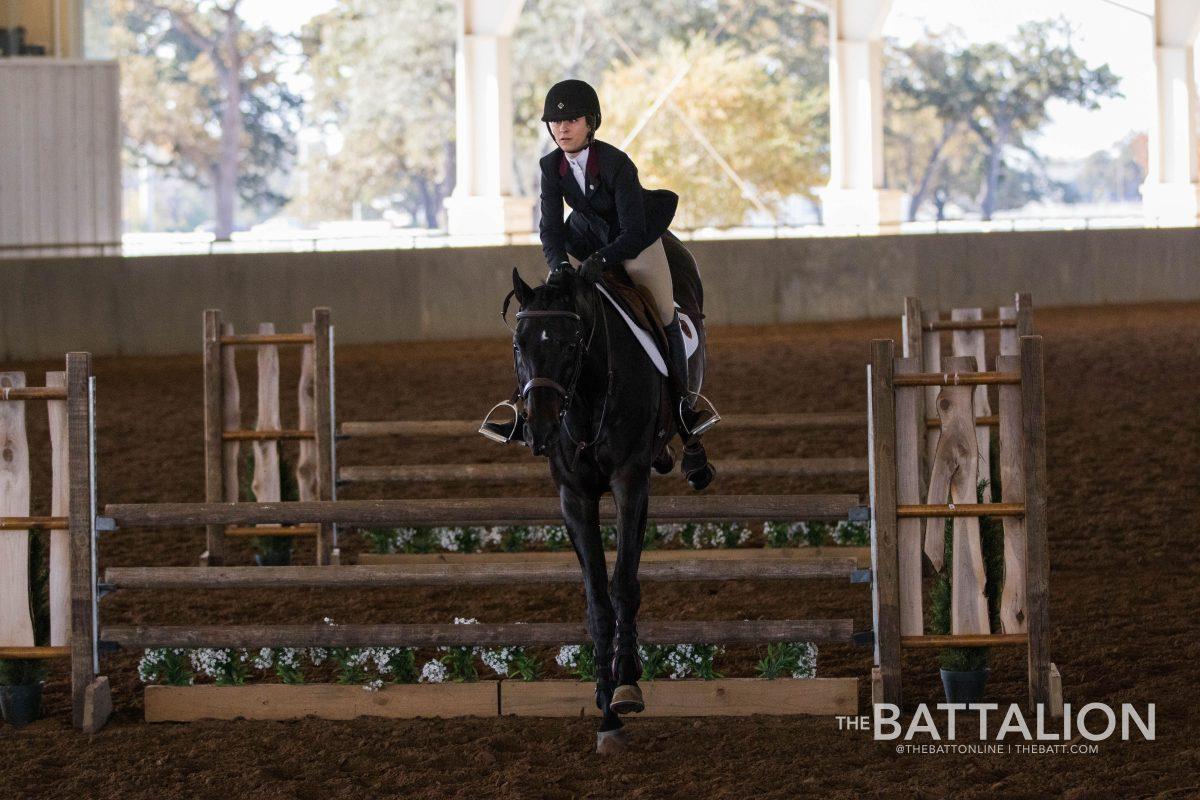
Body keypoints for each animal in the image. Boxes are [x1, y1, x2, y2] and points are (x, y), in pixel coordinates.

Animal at [506, 266, 710, 753]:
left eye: (569, 343)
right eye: (519, 344)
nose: (541, 428)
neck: (585, 396)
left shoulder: (630, 482)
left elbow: (623, 584)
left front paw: (627, 686)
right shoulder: (575, 496)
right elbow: (597, 597)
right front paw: (605, 710)